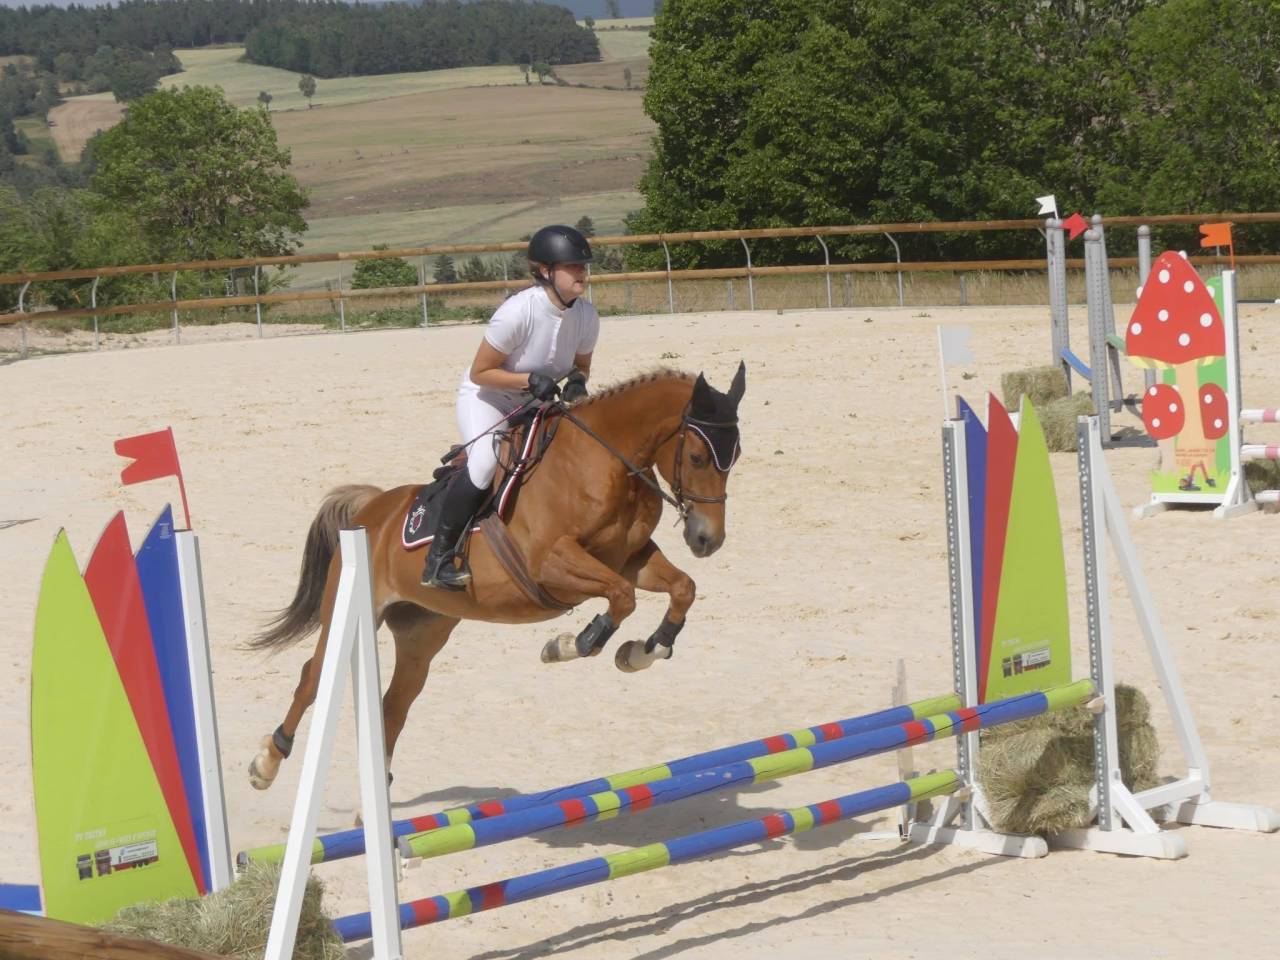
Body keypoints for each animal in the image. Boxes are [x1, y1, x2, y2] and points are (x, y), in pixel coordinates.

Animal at [248, 363, 746, 790]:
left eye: (736, 455)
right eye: (698, 457)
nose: (708, 538)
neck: (605, 463)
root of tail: (371, 509)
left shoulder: (631, 558)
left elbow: (682, 588)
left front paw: (644, 650)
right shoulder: (551, 564)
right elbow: (622, 598)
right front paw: (570, 644)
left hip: (422, 632)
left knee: (395, 704)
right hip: (352, 607)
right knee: (313, 677)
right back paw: (266, 762)